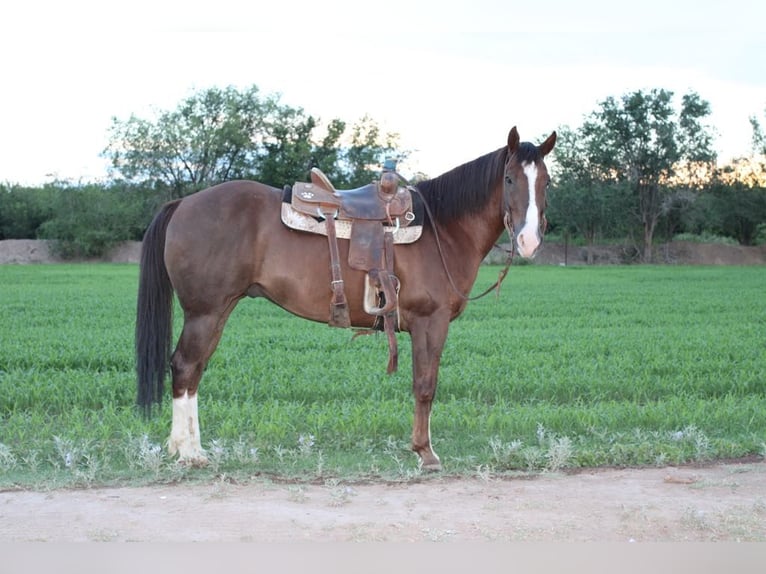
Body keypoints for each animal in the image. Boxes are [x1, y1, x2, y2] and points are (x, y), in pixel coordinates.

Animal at [136, 126, 556, 471]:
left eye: (547, 183)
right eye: (508, 178)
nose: (528, 240)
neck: (444, 227)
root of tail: (183, 204)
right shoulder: (430, 322)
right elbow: (425, 385)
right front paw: (426, 453)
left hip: (217, 311)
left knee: (195, 370)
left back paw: (190, 448)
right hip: (204, 312)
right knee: (185, 366)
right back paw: (187, 452)